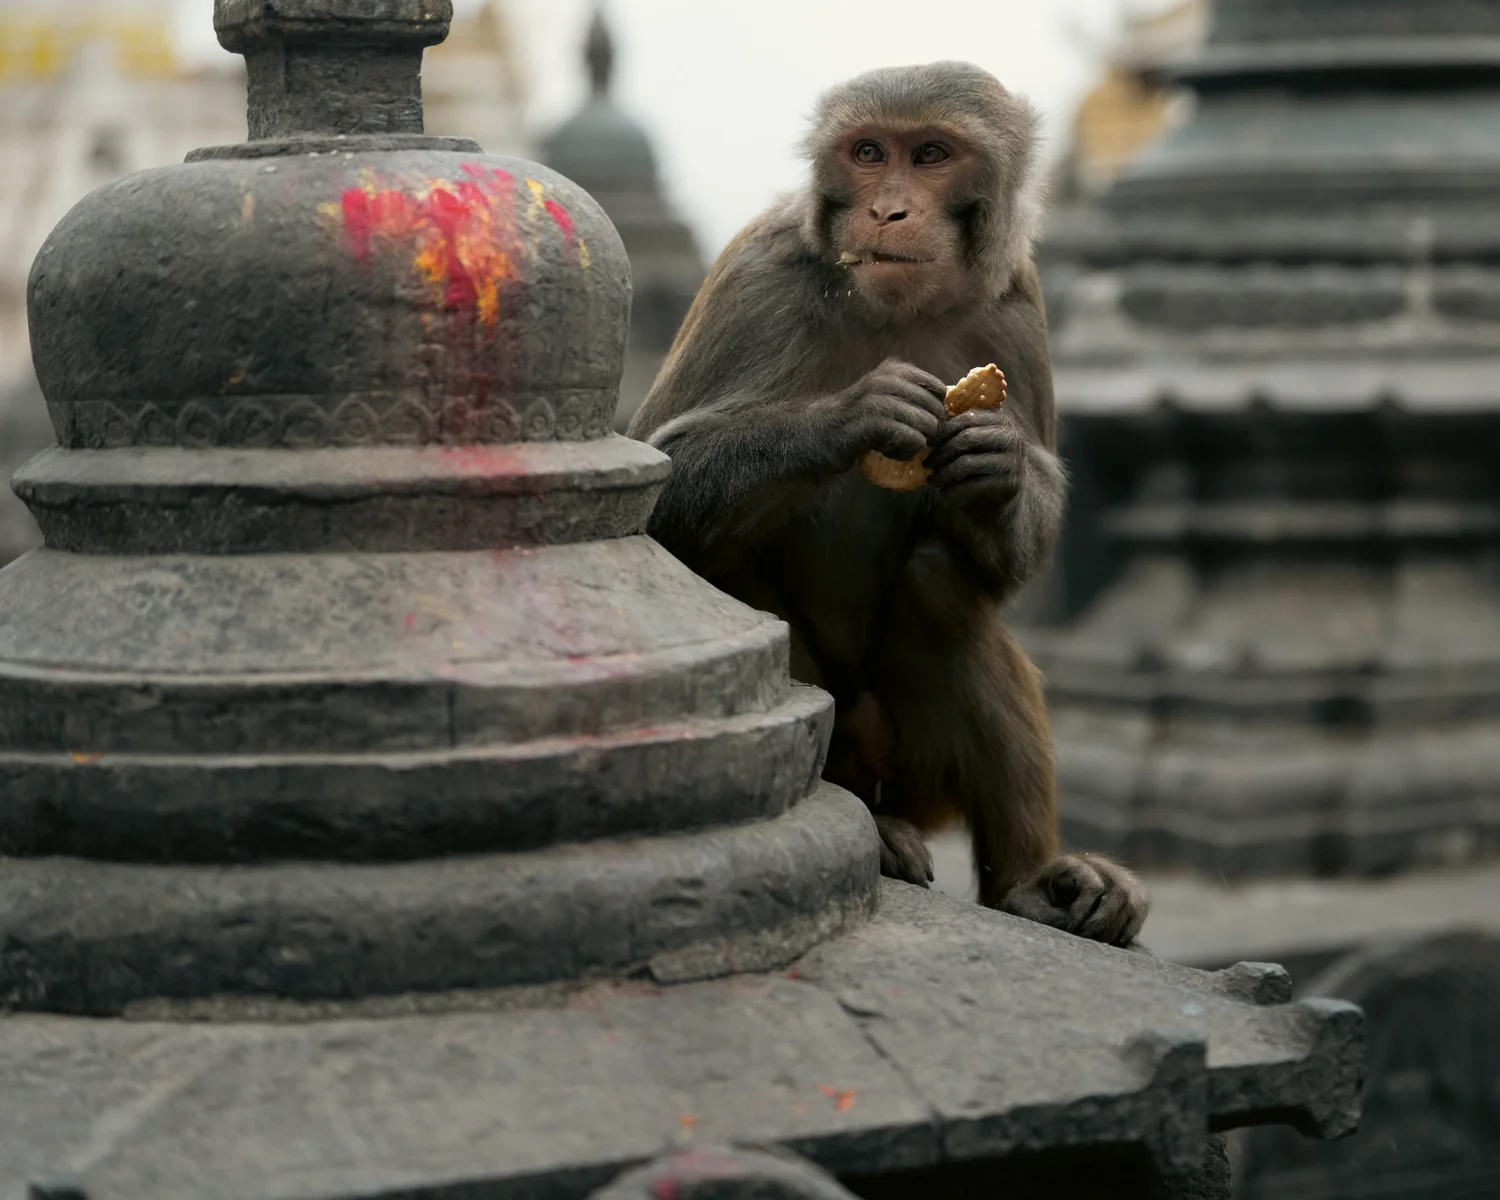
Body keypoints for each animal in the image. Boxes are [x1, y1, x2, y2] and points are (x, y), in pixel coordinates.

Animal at [627, 62, 1146, 948]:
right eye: (868, 153)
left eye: (931, 154)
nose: (888, 210)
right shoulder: (758, 276)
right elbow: (659, 488)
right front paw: (852, 416)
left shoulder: (1016, 301)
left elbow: (1008, 551)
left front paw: (1001, 466)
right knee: (734, 570)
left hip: (915, 770)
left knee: (940, 586)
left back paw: (1033, 883)